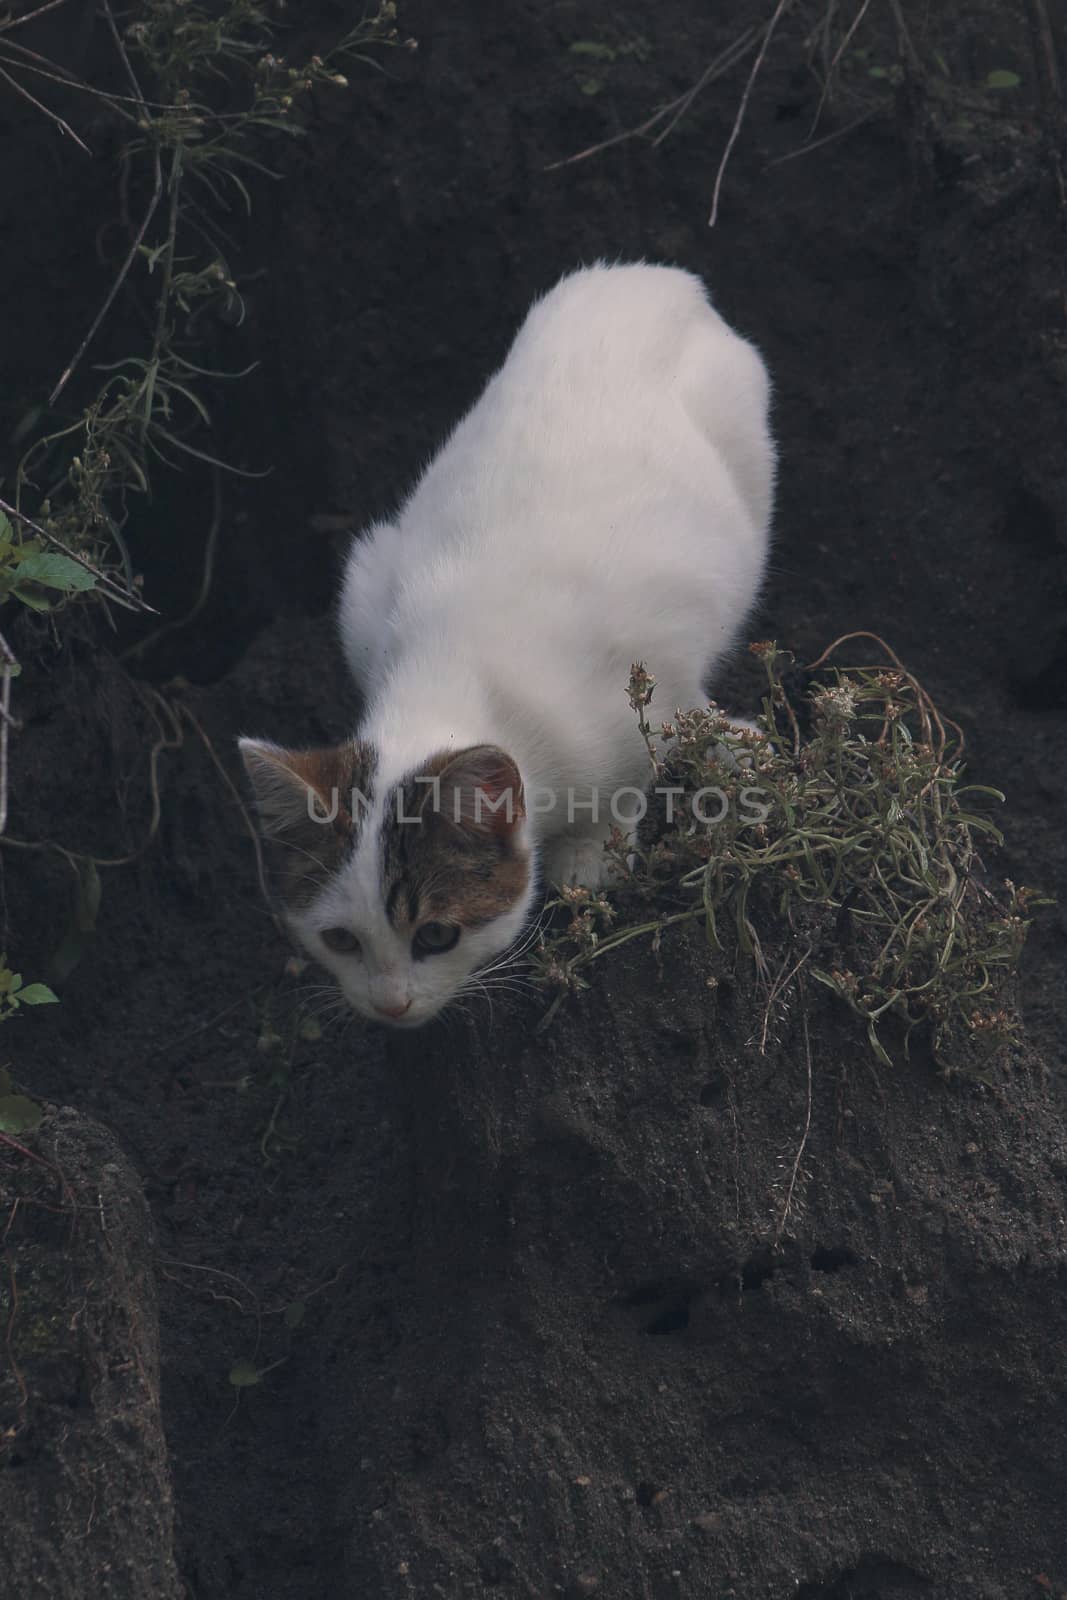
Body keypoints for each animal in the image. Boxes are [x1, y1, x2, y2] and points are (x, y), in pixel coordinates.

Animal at [241, 265, 777, 1024]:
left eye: (436, 935)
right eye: (340, 940)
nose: (391, 1006)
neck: (450, 670)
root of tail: (644, 276)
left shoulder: (652, 675)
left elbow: (643, 760)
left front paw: (595, 853)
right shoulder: (366, 593)